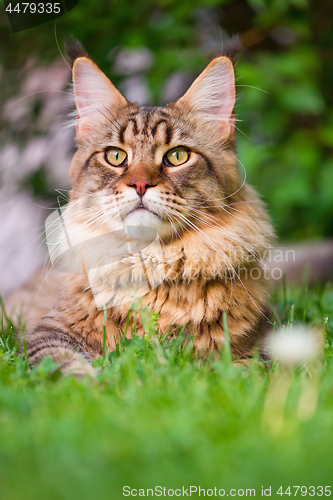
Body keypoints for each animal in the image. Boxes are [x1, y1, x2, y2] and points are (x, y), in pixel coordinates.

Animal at [9, 38, 274, 376]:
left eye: (177, 156)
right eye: (115, 156)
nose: (139, 184)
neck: (150, 265)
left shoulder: (260, 342)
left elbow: (242, 370)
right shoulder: (47, 334)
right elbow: (66, 367)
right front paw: (95, 384)